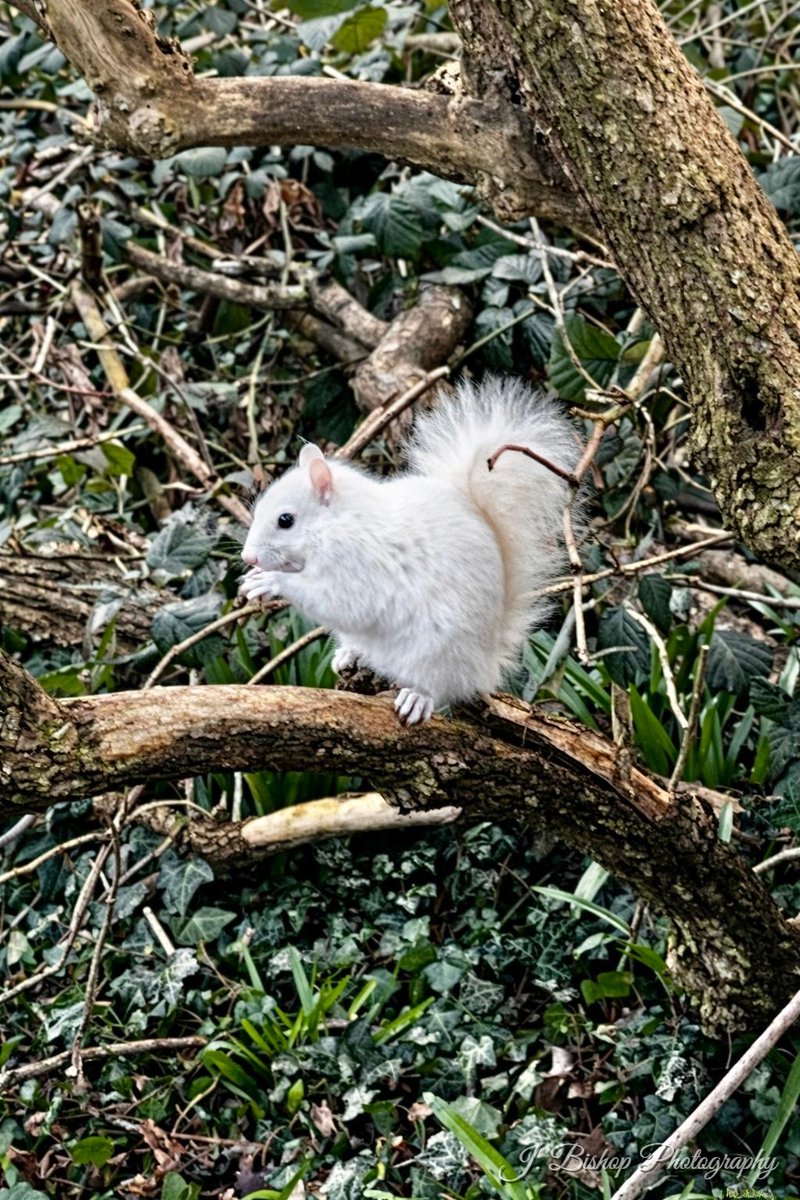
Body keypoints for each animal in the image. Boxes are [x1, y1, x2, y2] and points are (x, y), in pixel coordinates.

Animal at [240, 376, 580, 725]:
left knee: (441, 687)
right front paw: (256, 578)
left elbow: (340, 603)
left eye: (286, 520)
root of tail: (486, 666)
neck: (338, 521)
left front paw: (271, 582)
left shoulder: (361, 565)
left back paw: (418, 697)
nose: (247, 558)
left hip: (439, 653)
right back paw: (350, 654)